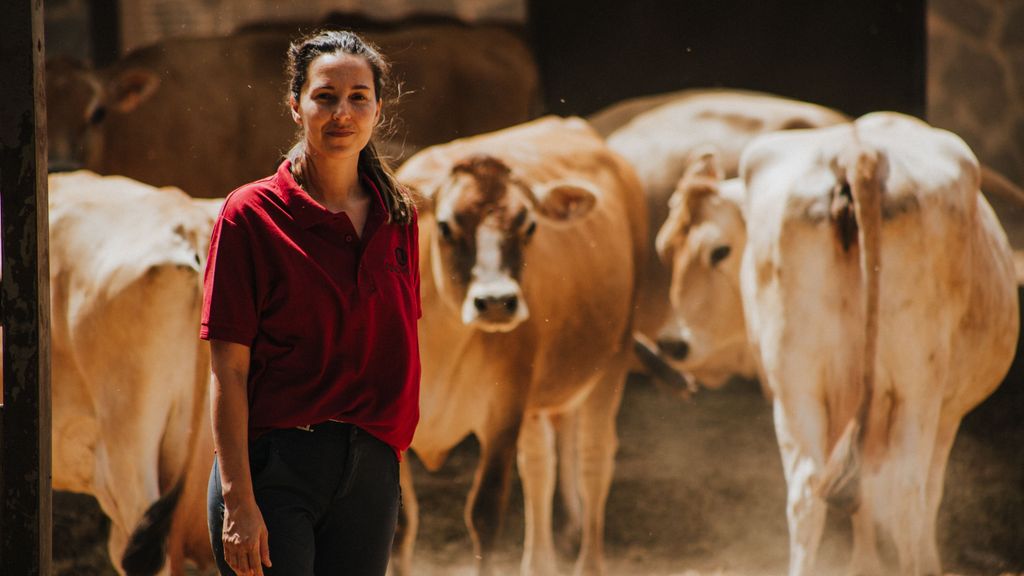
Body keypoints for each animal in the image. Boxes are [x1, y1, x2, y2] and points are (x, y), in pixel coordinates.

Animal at [393, 116, 643, 573]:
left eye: (529, 226)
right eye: (446, 226)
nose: (496, 301)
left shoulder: (504, 408)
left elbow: (485, 512)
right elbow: (400, 522)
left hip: (611, 362)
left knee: (594, 463)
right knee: (540, 466)